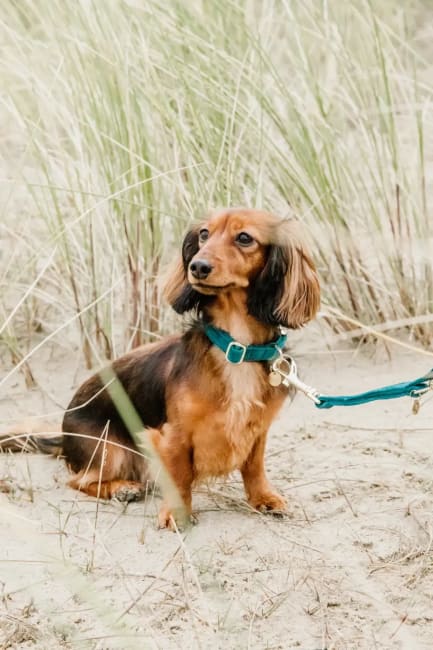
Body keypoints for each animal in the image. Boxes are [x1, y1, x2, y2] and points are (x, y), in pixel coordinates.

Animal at [1, 208, 318, 528]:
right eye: (204, 234)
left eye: (244, 238)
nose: (197, 266)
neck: (234, 347)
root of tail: (64, 437)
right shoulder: (173, 435)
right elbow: (179, 476)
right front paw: (177, 512)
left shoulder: (257, 430)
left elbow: (254, 467)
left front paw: (263, 498)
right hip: (110, 448)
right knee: (80, 481)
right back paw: (122, 488)